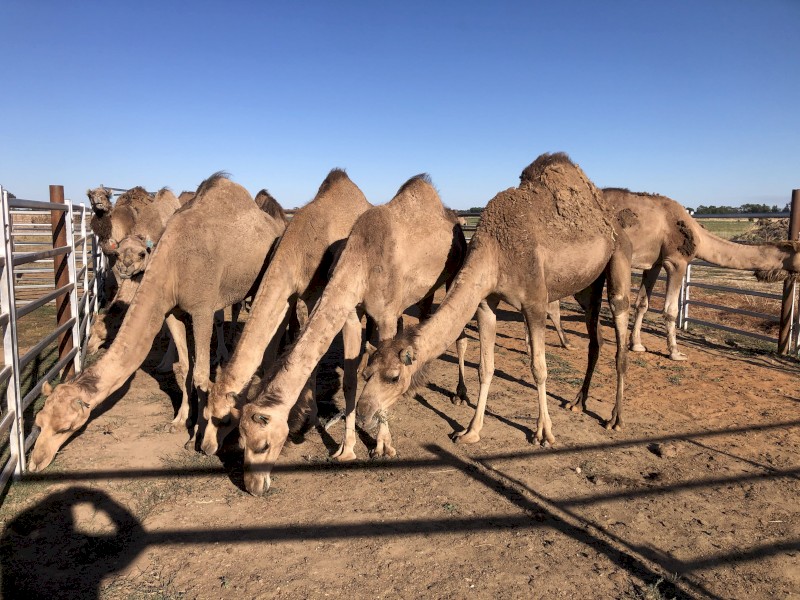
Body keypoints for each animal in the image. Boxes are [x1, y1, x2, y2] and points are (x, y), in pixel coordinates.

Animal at [28, 173, 286, 472]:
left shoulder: (201, 310)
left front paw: (196, 437)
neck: (173, 264)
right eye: (39, 422)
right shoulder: (172, 311)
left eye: (66, 427)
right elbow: (184, 368)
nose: (35, 463)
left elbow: (201, 375)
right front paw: (179, 421)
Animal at [200, 169, 372, 456]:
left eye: (224, 419)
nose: (205, 447)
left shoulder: (315, 296)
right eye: (204, 415)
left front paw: (309, 419)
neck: (298, 249)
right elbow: (270, 353)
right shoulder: (288, 296)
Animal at [238, 174, 469, 495]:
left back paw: (460, 394)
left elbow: (388, 370)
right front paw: (346, 449)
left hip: (455, 270)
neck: (361, 260)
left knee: (458, 333)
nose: (252, 486)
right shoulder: (350, 313)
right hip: (424, 291)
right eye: (241, 441)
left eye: (263, 445)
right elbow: (349, 379)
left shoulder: (385, 315)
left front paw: (383, 446)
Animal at [355, 153, 632, 453]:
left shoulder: (535, 302)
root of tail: (611, 219)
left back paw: (616, 418)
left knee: (619, 329)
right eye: (367, 373)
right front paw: (471, 431)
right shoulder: (486, 303)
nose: (362, 412)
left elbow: (539, 369)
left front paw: (543, 433)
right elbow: (485, 369)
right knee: (596, 339)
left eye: (393, 377)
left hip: (619, 259)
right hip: (587, 287)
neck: (496, 251)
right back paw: (578, 402)